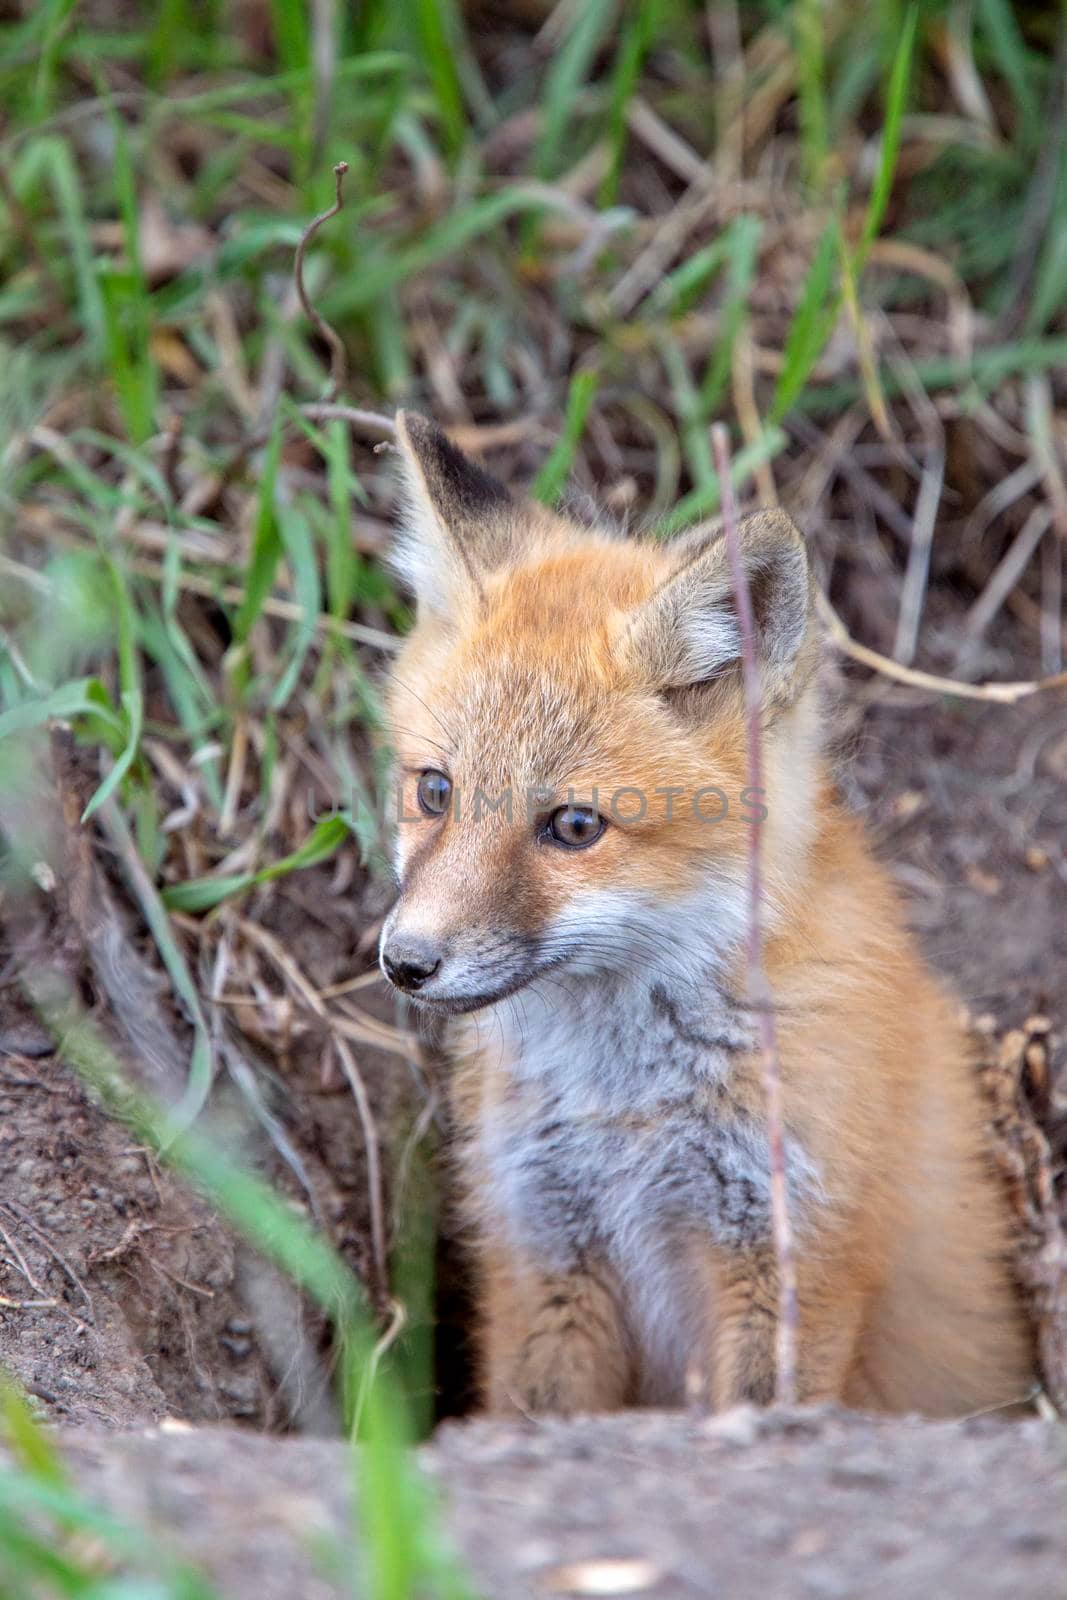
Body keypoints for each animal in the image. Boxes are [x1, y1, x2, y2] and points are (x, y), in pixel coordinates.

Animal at [377, 409, 1036, 1414]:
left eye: (575, 826)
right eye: (435, 790)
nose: (405, 962)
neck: (624, 1109)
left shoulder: (792, 1254)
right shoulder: (543, 1251)